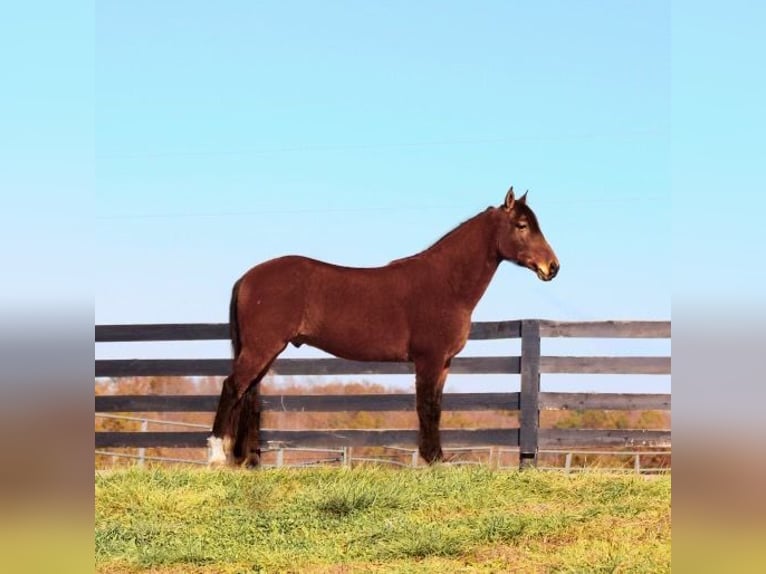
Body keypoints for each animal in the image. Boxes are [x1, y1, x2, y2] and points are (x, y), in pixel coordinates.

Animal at [207, 189, 560, 468]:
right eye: (522, 226)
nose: (553, 267)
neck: (446, 283)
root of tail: (247, 278)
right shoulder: (429, 360)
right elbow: (427, 407)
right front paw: (433, 461)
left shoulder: (443, 363)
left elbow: (435, 407)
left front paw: (437, 458)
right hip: (261, 348)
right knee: (232, 387)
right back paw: (217, 456)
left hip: (265, 352)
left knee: (248, 395)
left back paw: (246, 460)